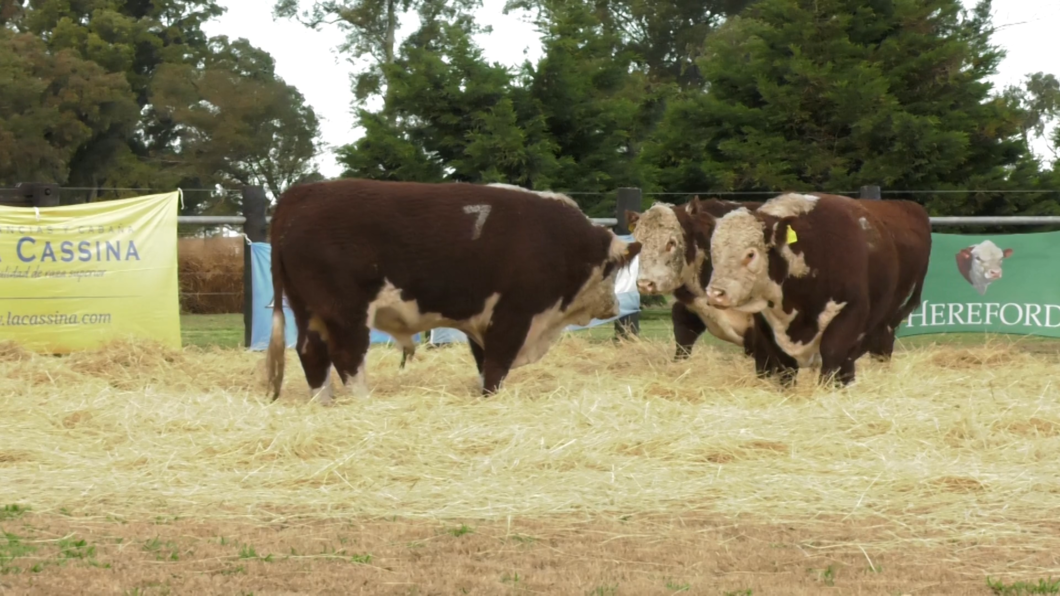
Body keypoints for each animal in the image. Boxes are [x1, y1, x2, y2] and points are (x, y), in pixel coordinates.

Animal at [269, 173, 640, 400]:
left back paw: (324, 401)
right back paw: (363, 400)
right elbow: (496, 366)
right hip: (346, 311)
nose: (614, 305)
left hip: (308, 309)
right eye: (611, 271)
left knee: (311, 352)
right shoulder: (514, 314)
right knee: (347, 356)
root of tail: (302, 193)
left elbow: (483, 363)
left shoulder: (482, 320)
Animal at [699, 190, 932, 386]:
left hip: (887, 323)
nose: (716, 294)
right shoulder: (766, 323)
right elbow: (783, 366)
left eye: (750, 254)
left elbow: (831, 354)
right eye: (713, 251)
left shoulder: (850, 311)